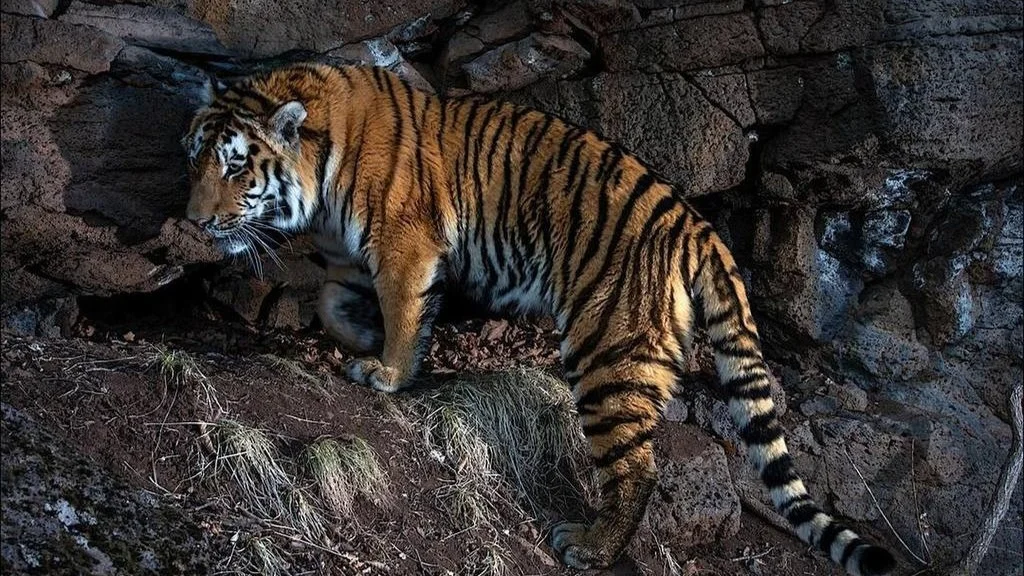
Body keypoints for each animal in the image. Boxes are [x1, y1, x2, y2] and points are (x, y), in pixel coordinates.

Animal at [182, 62, 895, 575]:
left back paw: (588, 546)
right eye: (195, 158)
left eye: (236, 166)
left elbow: (404, 310)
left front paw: (389, 371)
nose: (193, 221)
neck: (320, 174)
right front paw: (362, 339)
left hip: (606, 346)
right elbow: (333, 303)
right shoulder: (351, 259)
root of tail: (695, 224)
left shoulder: (405, 243)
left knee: (638, 467)